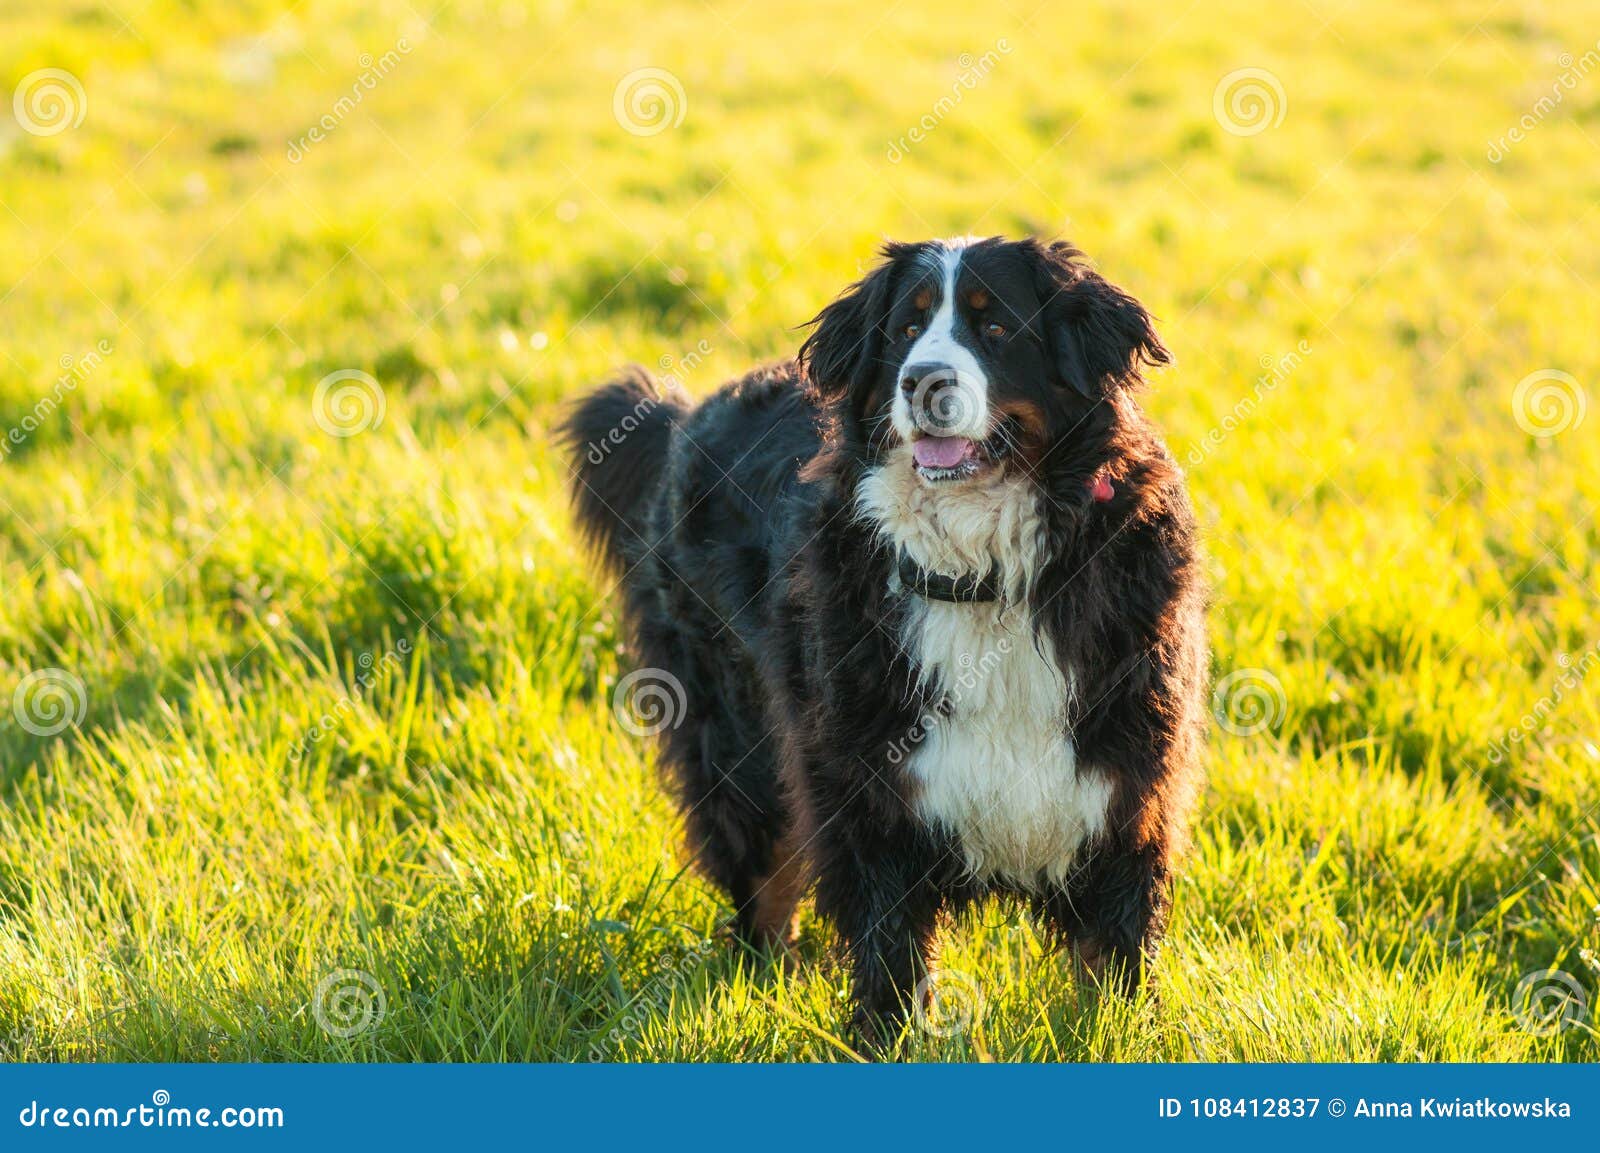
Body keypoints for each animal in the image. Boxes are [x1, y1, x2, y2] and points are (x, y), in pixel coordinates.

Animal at [560, 236, 1203, 1042]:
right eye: (906, 329)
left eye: (997, 327)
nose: (922, 381)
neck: (985, 576)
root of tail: (686, 415)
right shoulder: (867, 791)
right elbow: (890, 956)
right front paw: (884, 1036)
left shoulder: (1124, 786)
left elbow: (1113, 962)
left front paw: (1117, 1031)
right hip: (739, 736)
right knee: (762, 877)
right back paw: (767, 979)